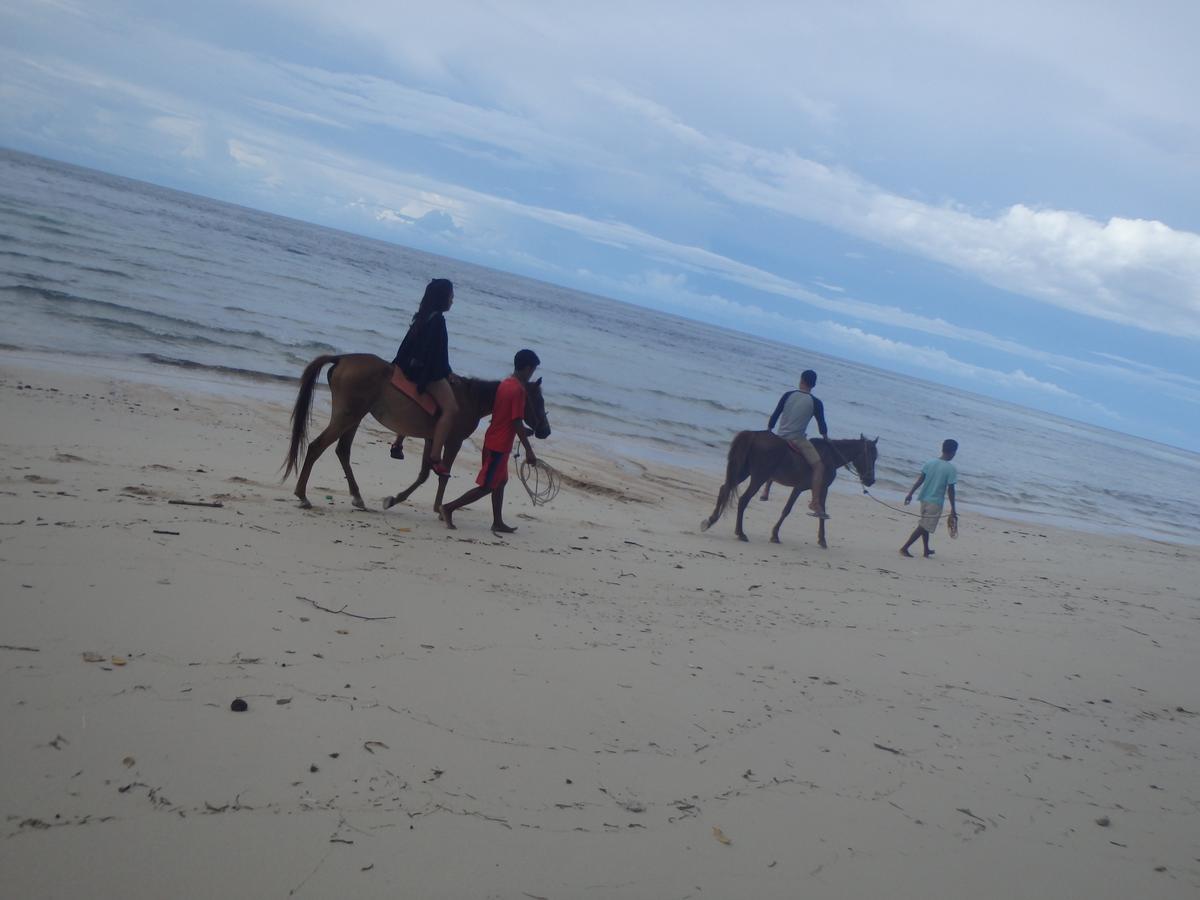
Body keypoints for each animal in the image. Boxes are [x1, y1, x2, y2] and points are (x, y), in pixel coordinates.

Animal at [283, 357, 549, 513]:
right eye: (538, 400)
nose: (545, 430)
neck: (471, 398)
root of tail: (343, 358)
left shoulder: (432, 438)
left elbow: (424, 474)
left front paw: (395, 499)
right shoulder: (453, 441)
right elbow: (442, 474)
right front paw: (439, 507)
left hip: (354, 417)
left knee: (342, 451)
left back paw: (357, 497)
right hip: (347, 416)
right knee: (317, 447)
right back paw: (303, 495)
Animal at [700, 432, 878, 547]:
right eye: (872, 456)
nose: (870, 480)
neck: (831, 457)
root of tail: (754, 435)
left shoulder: (810, 489)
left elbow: (817, 511)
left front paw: (821, 539)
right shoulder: (808, 488)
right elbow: (790, 510)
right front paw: (775, 535)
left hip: (743, 472)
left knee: (724, 489)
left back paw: (711, 520)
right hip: (759, 477)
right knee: (743, 499)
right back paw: (740, 532)